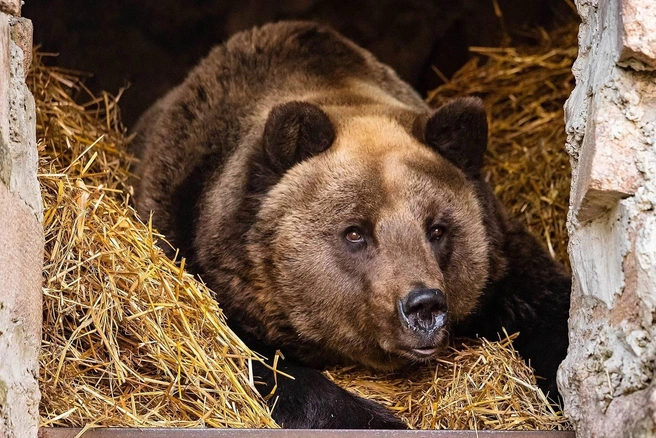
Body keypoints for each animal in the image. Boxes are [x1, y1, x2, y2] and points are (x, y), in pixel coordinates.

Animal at [130, 21, 571, 429]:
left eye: (437, 229)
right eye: (355, 231)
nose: (424, 307)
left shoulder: (503, 260)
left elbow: (550, 310)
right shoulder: (217, 268)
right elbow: (261, 366)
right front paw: (381, 419)